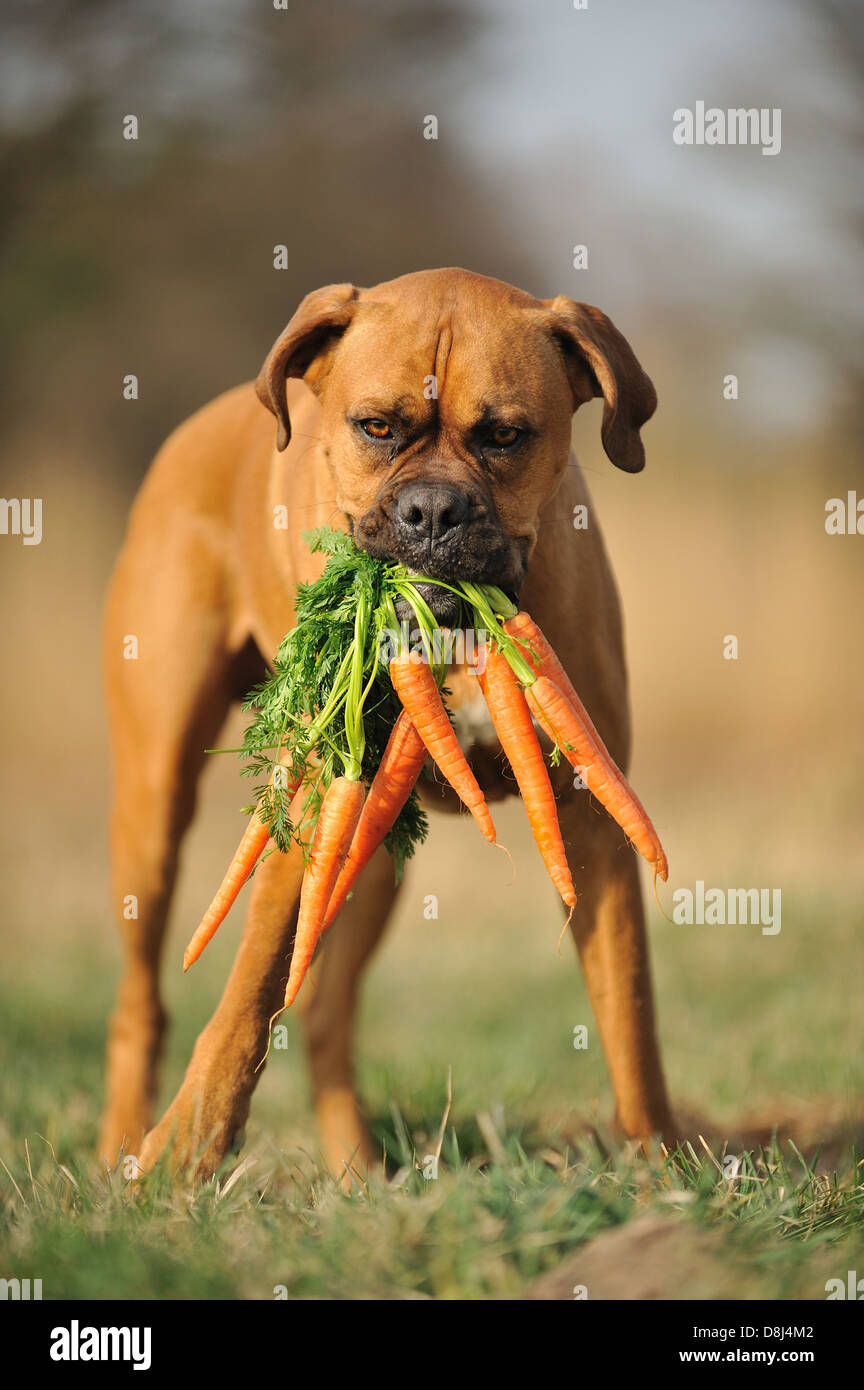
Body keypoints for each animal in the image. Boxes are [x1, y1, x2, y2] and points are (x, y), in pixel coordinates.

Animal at [97, 265, 675, 1178]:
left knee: (327, 1014)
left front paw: (659, 1171)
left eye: (506, 436)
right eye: (376, 427)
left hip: (375, 854)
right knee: (143, 1001)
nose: (434, 511)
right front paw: (185, 1153)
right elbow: (251, 985)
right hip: (157, 809)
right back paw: (123, 1145)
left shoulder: (595, 819)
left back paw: (356, 1171)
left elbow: (629, 1012)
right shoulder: (307, 810)